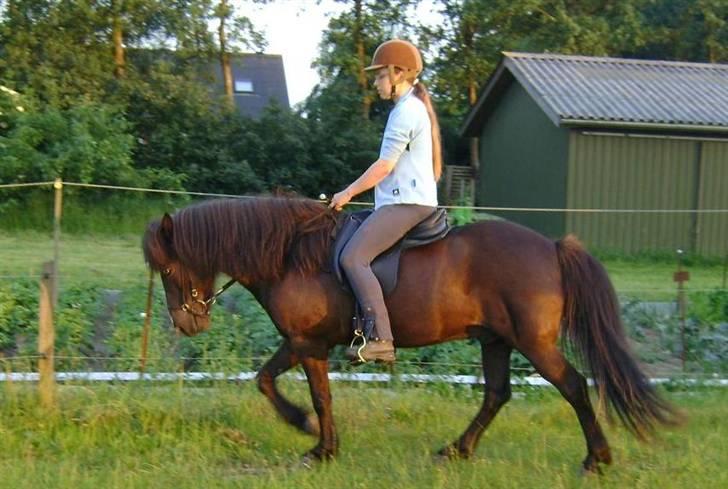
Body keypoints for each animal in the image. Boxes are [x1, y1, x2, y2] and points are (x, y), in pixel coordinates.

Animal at [142, 196, 676, 470]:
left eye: (168, 269)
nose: (187, 323)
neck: (291, 254)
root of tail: (551, 247)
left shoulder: (304, 343)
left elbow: (291, 389)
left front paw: (310, 436)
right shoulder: (307, 345)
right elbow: (296, 388)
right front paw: (321, 443)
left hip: (534, 344)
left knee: (574, 386)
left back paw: (597, 458)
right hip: (496, 340)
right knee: (497, 394)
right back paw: (458, 450)